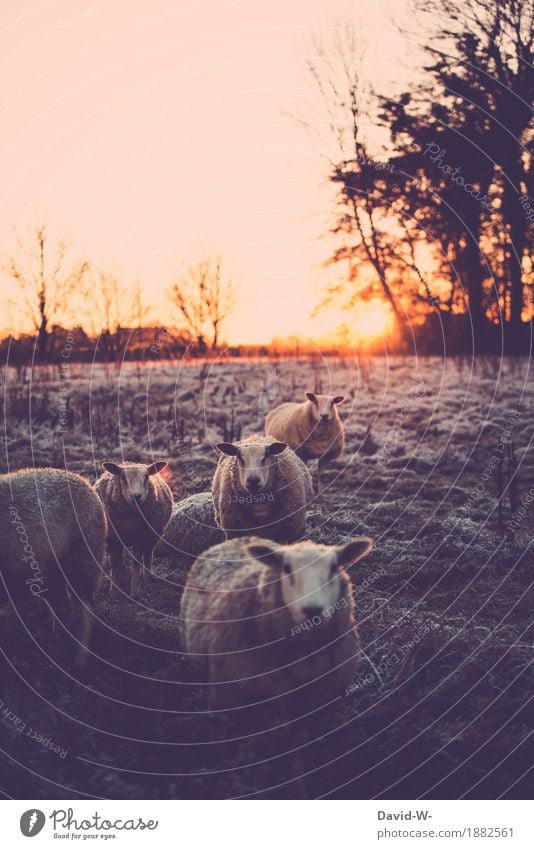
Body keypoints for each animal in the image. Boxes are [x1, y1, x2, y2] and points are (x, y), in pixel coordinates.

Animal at [0, 464, 108, 668]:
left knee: (86, 611)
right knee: (63, 608)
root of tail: (82, 479)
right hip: (52, 571)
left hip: (83, 558)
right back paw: (57, 653)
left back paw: (79, 661)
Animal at [94, 460, 173, 592]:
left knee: (147, 556)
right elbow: (115, 563)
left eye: (146, 477)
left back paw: (147, 581)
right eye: (123, 477)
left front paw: (135, 590)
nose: (136, 496)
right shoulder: (112, 539)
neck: (130, 523)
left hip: (151, 537)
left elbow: (136, 562)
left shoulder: (141, 539)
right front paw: (114, 590)